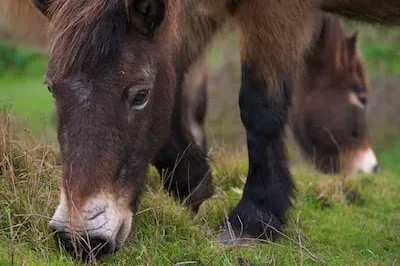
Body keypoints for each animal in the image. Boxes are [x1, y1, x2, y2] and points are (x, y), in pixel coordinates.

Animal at [4, 0, 400, 258]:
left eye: (140, 95)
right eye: (51, 88)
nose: (79, 236)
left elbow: (260, 107)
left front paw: (253, 218)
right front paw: (194, 185)